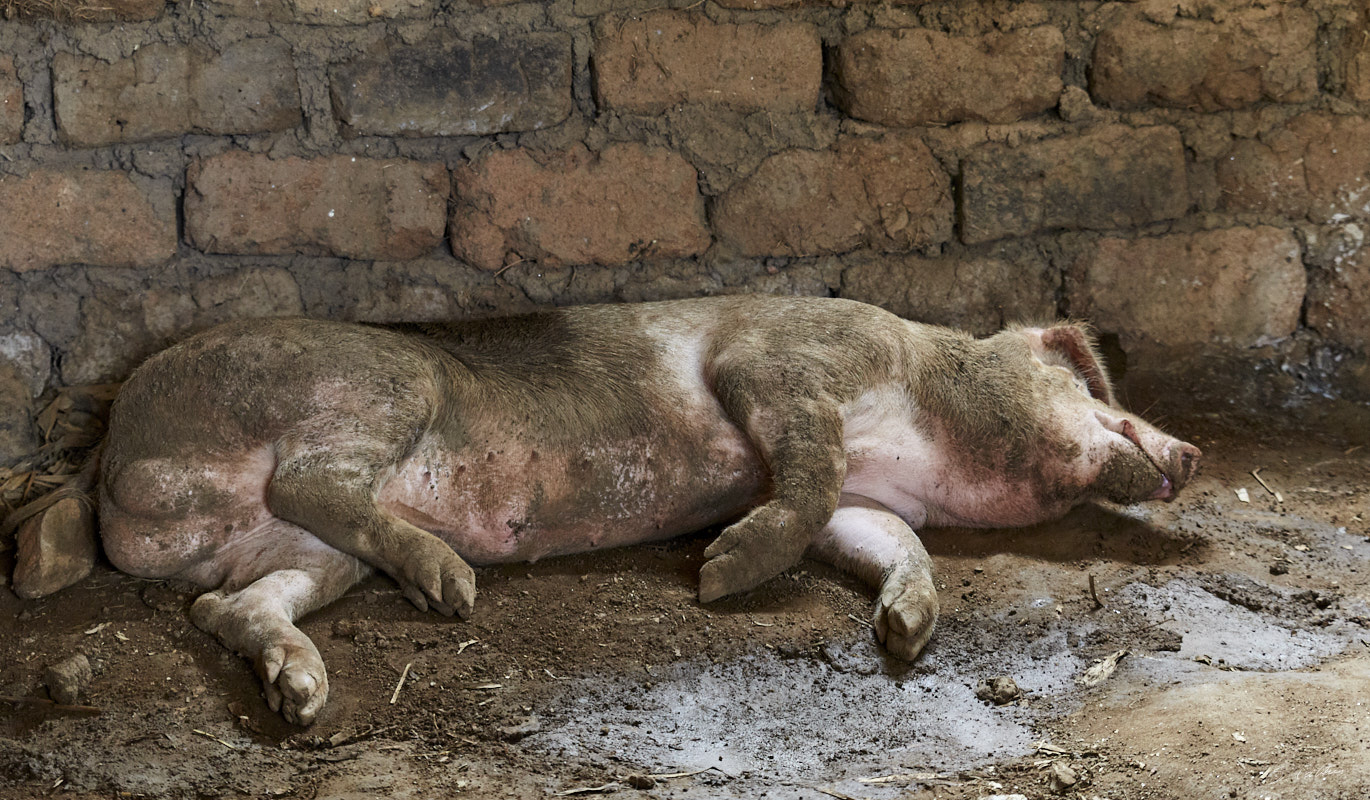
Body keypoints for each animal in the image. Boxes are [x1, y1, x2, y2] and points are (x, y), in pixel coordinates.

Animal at [5, 297, 1200, 728]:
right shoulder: (782, 363)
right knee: (314, 481)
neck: (917, 403)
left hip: (291, 552)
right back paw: (455, 589)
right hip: (373, 393)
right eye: (1090, 387)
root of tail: (112, 446)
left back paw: (306, 697)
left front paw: (906, 635)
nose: (1190, 450)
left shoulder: (865, 498)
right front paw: (717, 577)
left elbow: (881, 535)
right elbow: (805, 476)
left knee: (227, 609)